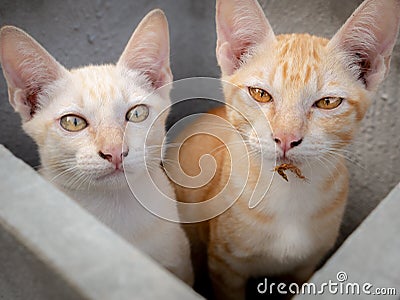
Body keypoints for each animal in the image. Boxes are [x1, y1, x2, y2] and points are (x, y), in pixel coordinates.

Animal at [169, 0, 400, 298]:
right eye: (260, 94)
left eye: (327, 102)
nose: (286, 138)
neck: (288, 194)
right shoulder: (224, 265)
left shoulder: (306, 268)